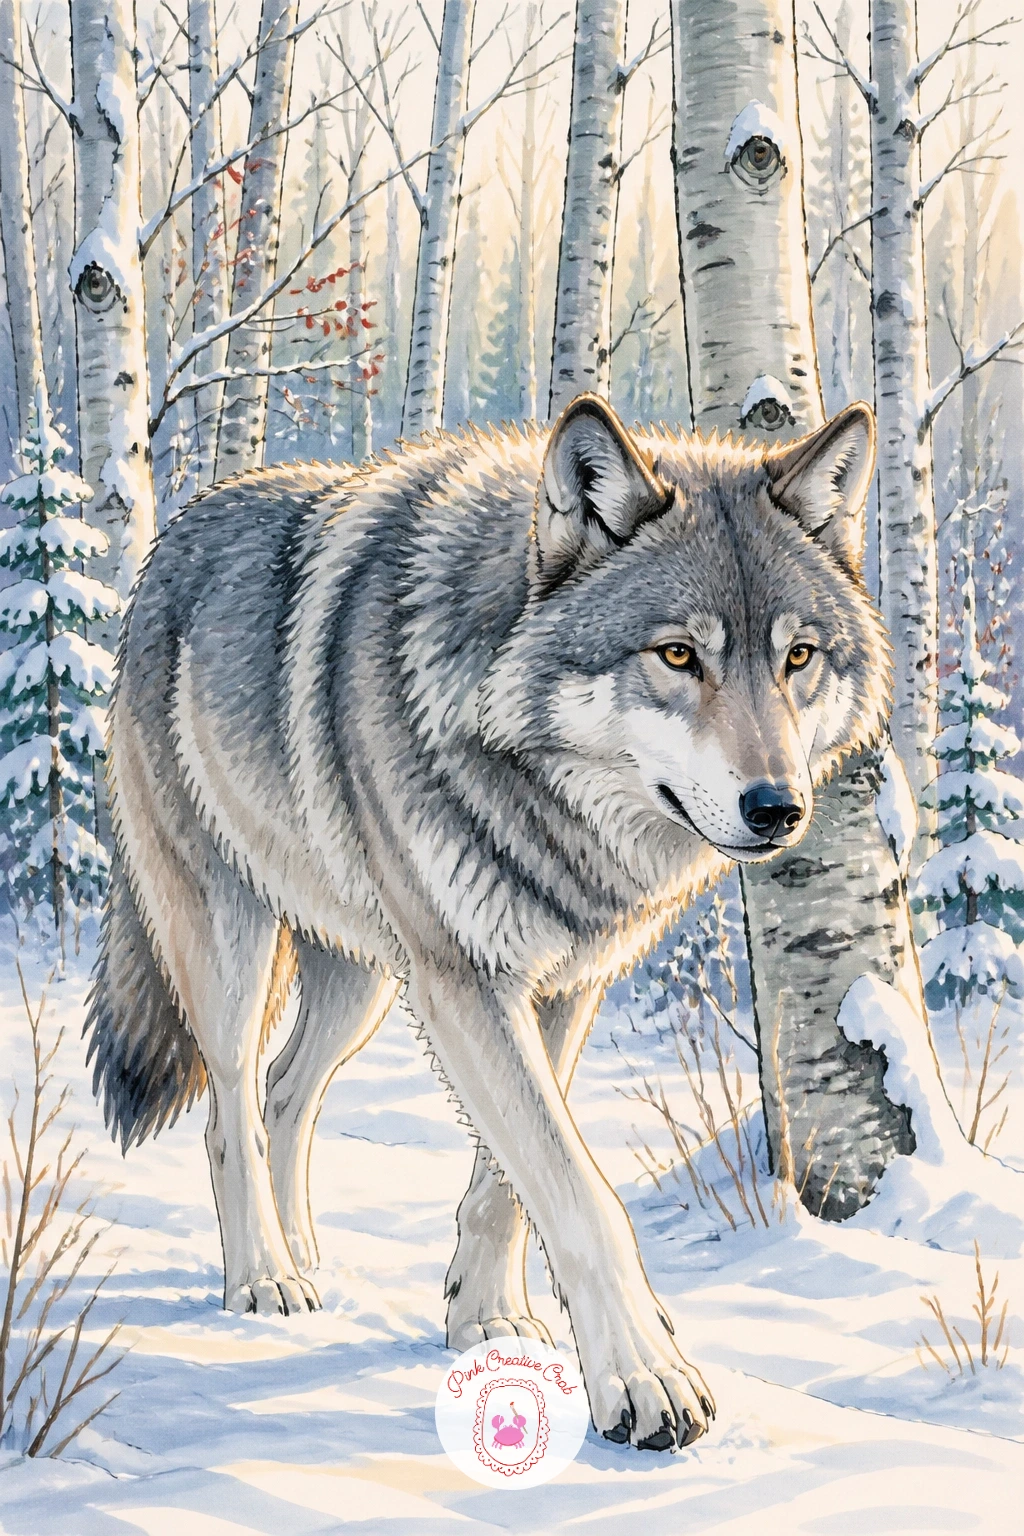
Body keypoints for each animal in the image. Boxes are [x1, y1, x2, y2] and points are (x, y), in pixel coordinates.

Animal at [86, 393, 887, 1452]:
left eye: (798, 657)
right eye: (678, 655)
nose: (778, 808)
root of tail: (175, 536)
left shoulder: (562, 983)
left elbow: (513, 1181)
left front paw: (487, 1317)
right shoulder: (463, 978)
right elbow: (579, 1191)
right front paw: (648, 1381)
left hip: (362, 981)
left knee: (285, 1094)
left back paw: (308, 1261)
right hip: (233, 945)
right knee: (231, 1113)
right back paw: (263, 1277)